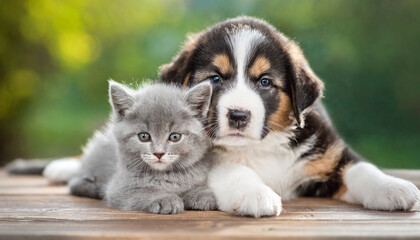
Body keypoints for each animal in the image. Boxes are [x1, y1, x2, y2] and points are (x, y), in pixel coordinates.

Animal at [69, 80, 217, 214]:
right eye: (144, 136)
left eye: (175, 137)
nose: (158, 153)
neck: (165, 175)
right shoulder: (118, 189)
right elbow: (144, 192)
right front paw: (165, 199)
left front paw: (201, 194)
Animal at [159, 15, 418, 218]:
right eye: (215, 79)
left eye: (265, 81)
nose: (239, 115)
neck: (262, 147)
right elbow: (234, 170)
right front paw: (256, 193)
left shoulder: (330, 152)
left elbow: (361, 168)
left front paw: (391, 186)